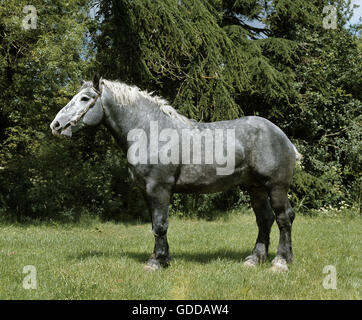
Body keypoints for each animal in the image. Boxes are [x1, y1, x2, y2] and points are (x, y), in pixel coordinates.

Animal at [50, 75, 300, 272]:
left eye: (84, 98)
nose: (56, 125)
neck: (150, 132)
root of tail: (282, 136)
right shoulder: (147, 192)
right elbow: (155, 225)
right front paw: (162, 259)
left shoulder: (159, 189)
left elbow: (160, 225)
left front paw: (156, 263)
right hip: (255, 188)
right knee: (264, 219)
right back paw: (254, 259)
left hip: (276, 187)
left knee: (284, 218)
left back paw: (280, 262)